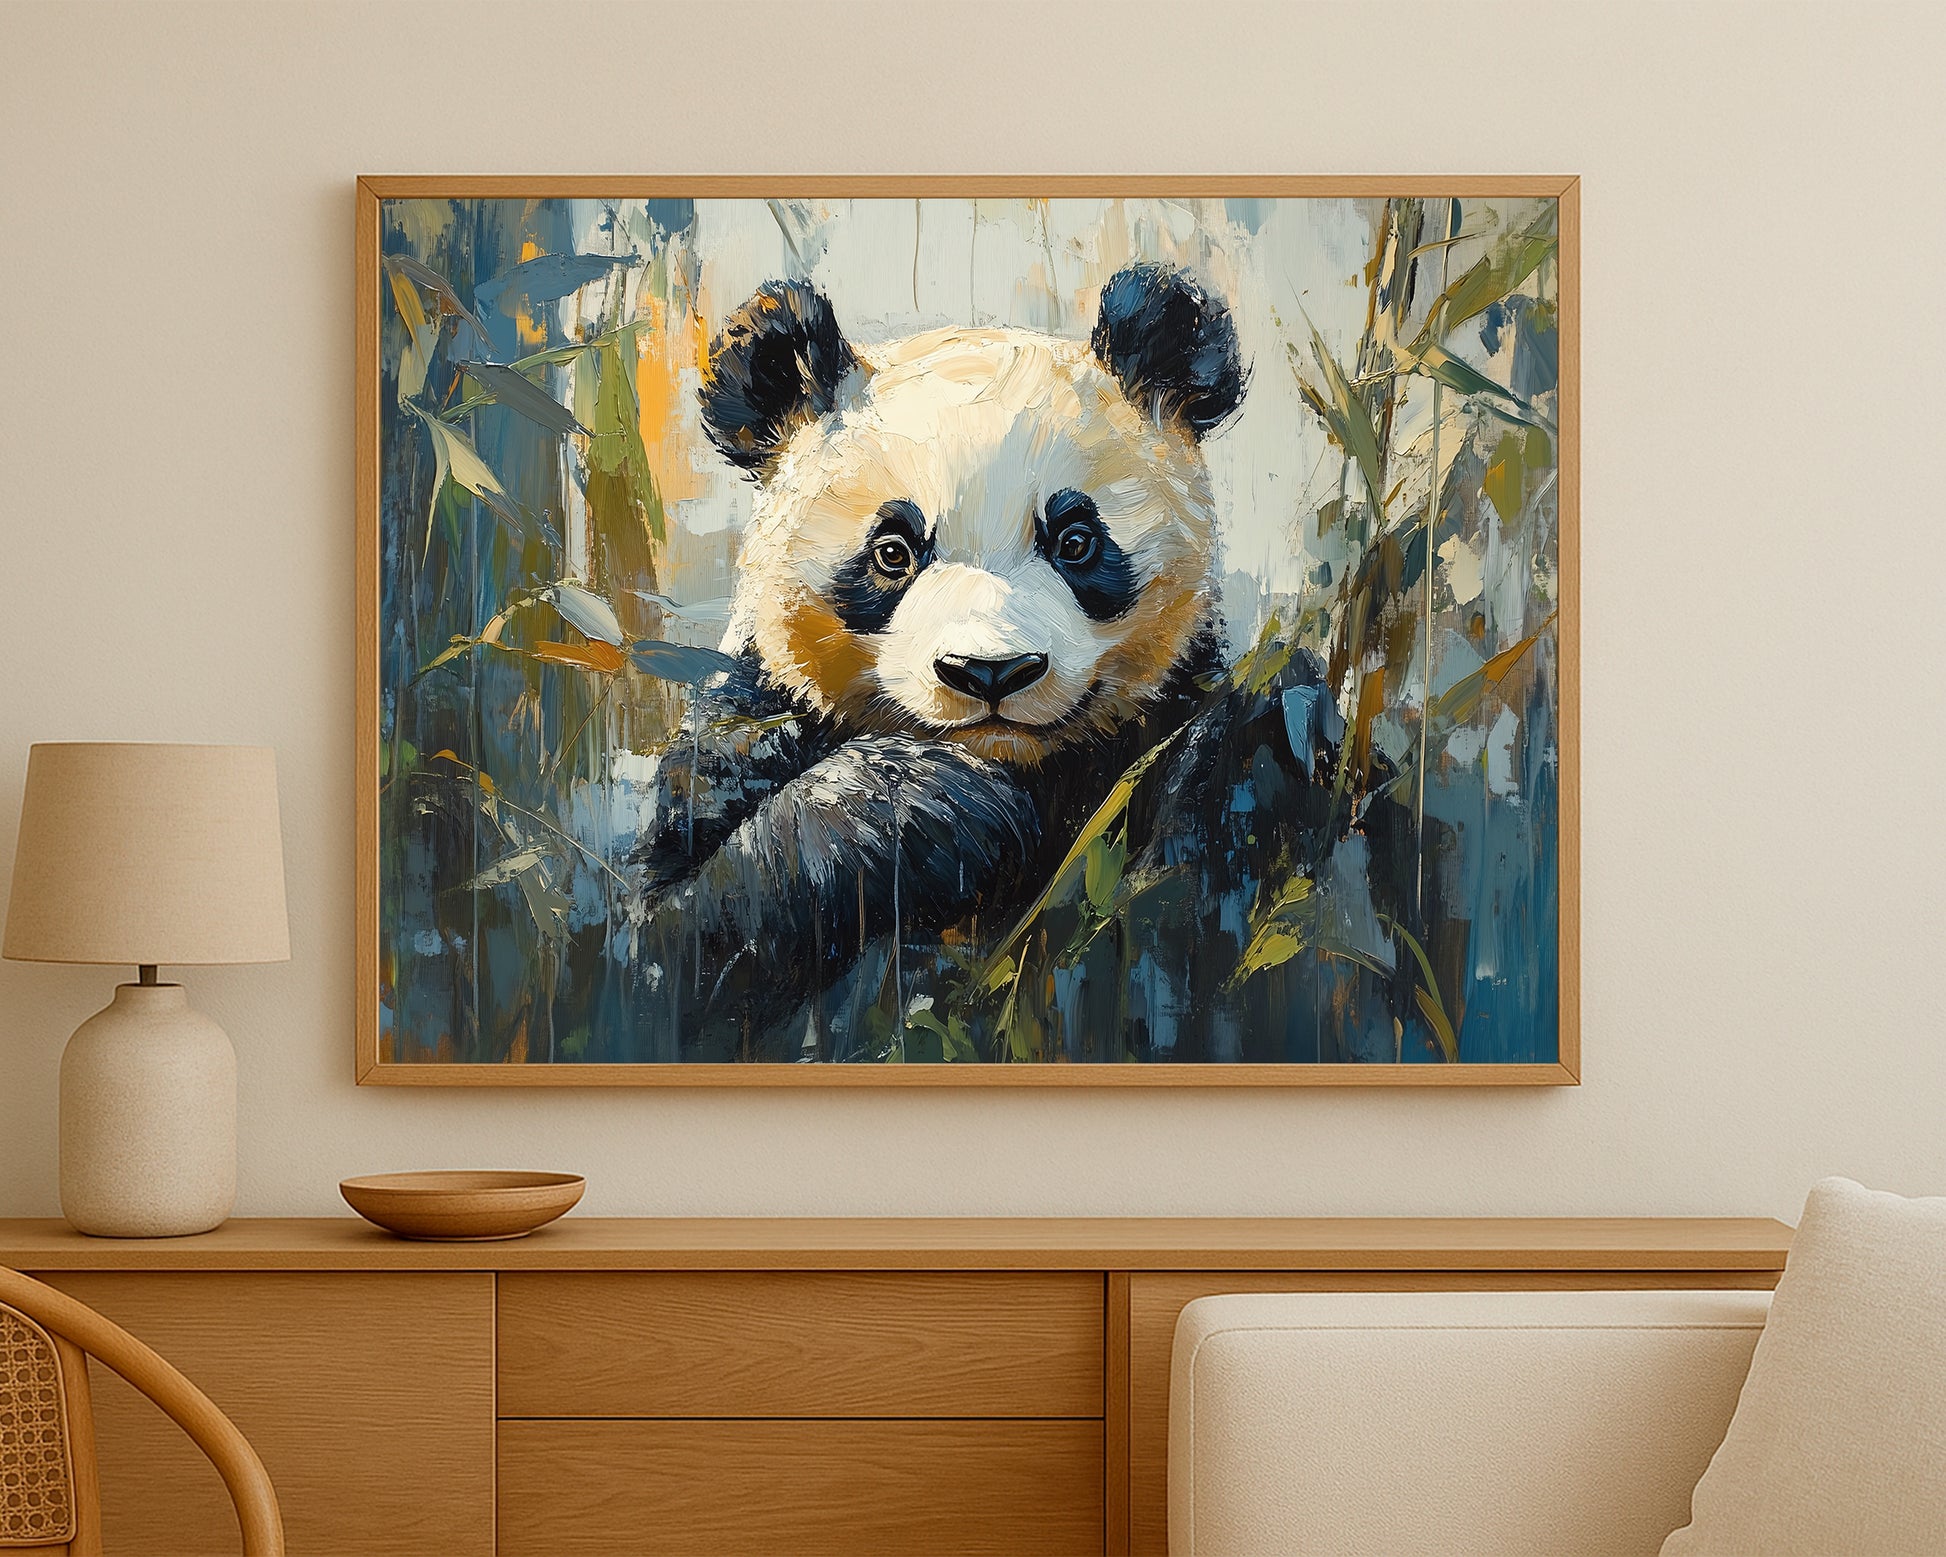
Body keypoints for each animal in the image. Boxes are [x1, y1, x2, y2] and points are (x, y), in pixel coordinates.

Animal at [621, 265, 1432, 1062]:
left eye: (1075, 540)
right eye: (893, 551)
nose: (990, 672)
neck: (1030, 766)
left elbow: (1191, 951)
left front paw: (1276, 730)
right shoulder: (748, 727)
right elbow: (680, 944)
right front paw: (942, 801)